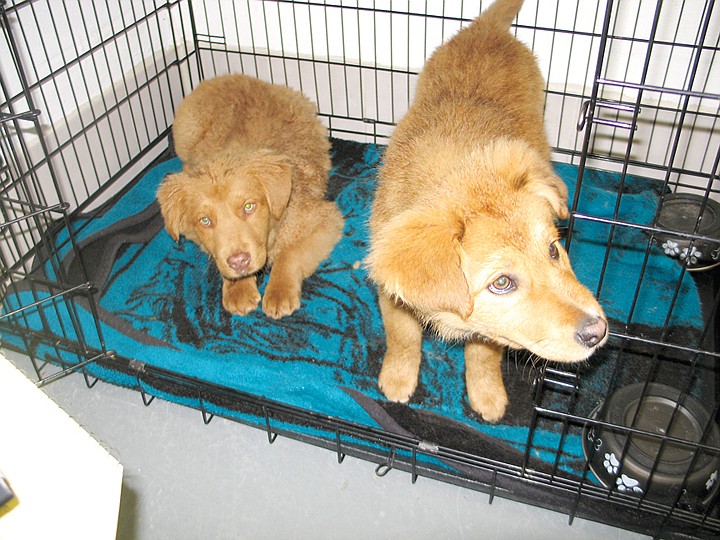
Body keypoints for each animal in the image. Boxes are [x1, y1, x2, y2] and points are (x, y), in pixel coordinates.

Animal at [159, 76, 344, 320]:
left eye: (249, 206)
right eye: (205, 220)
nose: (239, 262)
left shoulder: (325, 220)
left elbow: (290, 253)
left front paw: (279, 292)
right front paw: (238, 289)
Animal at [366, 0, 608, 422]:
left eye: (553, 250)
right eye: (502, 283)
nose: (598, 331)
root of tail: (488, 28)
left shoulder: (491, 331)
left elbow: (483, 355)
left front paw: (487, 395)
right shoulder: (392, 296)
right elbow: (403, 336)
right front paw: (397, 379)